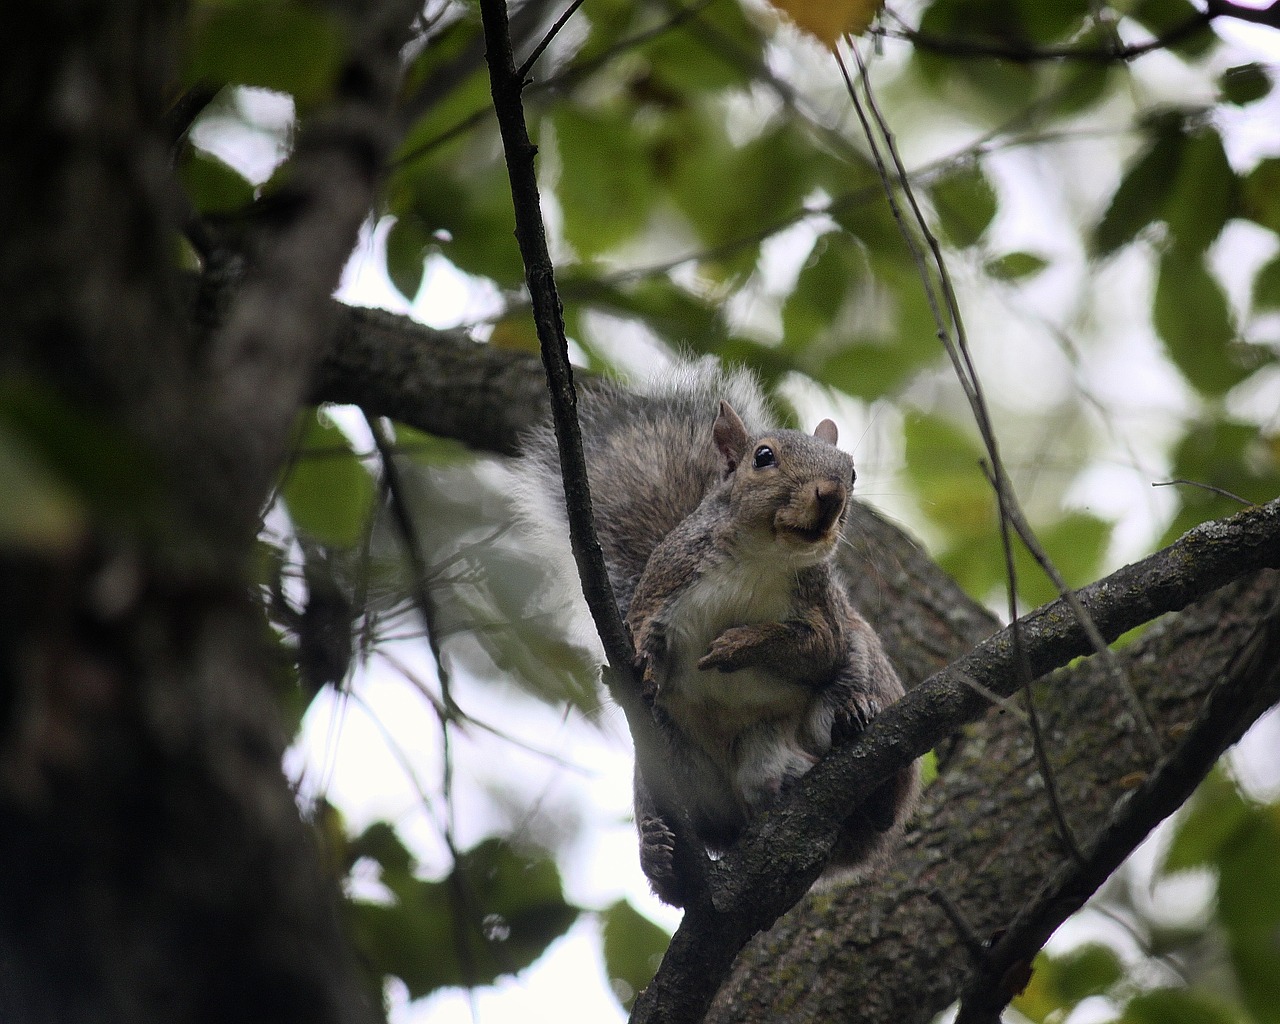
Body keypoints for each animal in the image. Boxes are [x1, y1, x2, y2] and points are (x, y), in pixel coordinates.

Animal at [509, 360, 911, 906]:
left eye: (850, 471)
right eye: (763, 457)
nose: (831, 496)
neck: (761, 557)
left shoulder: (823, 611)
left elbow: (818, 651)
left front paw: (739, 645)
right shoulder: (665, 587)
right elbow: (644, 637)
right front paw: (637, 672)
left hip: (859, 671)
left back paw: (855, 724)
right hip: (662, 763)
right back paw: (661, 857)